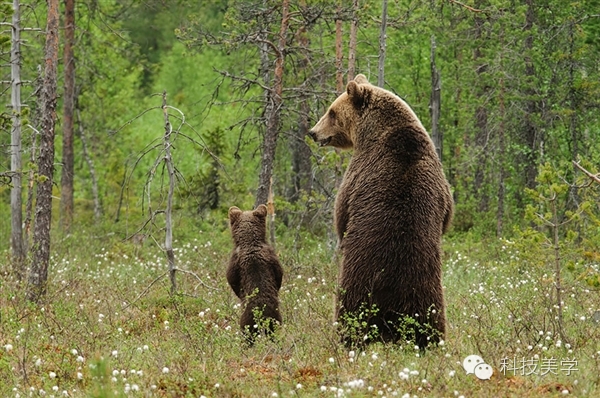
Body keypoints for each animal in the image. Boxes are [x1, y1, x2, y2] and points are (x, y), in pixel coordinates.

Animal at [227, 204, 284, 344]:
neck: (249, 242)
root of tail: (262, 315)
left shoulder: (235, 261)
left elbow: (232, 279)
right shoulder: (272, 257)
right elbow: (279, 273)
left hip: (247, 320)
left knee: (248, 335)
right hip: (275, 319)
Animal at [312, 74, 452, 348]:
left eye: (331, 112)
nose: (312, 132)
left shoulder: (358, 172)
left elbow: (341, 213)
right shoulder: (440, 181)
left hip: (358, 282)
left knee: (350, 312)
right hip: (427, 291)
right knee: (431, 319)